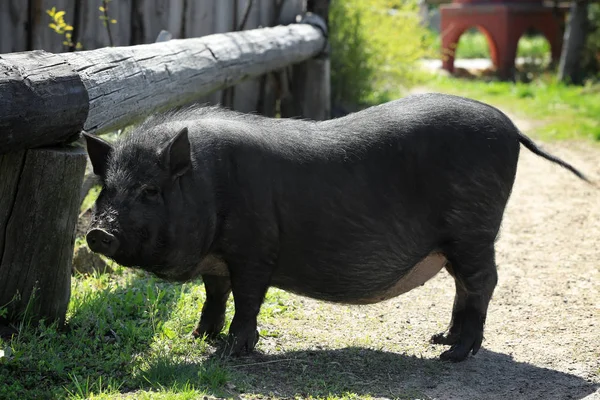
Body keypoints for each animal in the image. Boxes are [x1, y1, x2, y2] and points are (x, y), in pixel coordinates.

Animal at [82, 92, 588, 360]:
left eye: (151, 191)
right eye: (107, 188)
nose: (98, 232)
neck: (209, 184)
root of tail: (509, 126)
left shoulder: (255, 251)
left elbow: (247, 300)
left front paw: (229, 351)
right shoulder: (217, 261)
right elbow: (214, 295)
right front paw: (199, 338)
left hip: (474, 231)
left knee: (483, 284)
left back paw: (451, 356)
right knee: (465, 289)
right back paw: (438, 339)